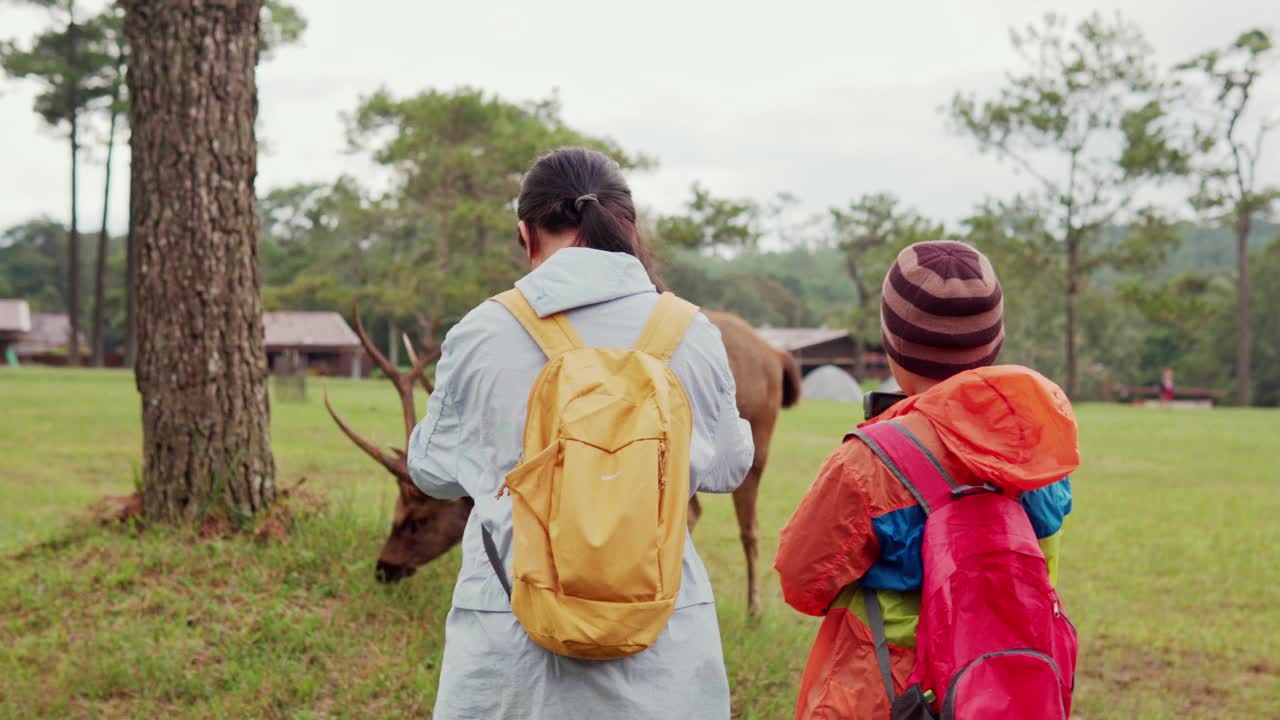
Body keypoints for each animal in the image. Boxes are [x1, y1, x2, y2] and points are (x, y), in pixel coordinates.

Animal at [332, 301, 798, 609]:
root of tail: (779, 355)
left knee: (750, 528)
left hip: (759, 440)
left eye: (416, 519)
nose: (383, 568)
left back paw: (753, 612)